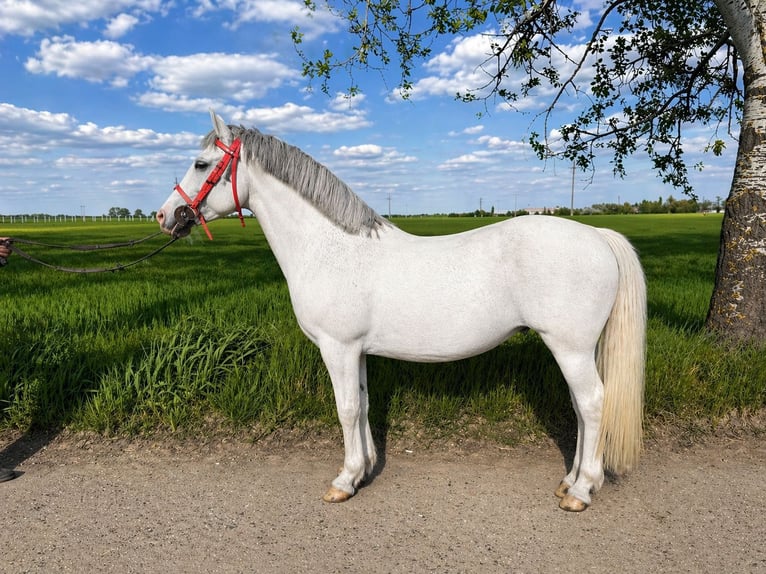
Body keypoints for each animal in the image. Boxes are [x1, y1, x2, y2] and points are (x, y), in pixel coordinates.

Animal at [156, 111, 646, 512]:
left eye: (200, 164)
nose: (165, 216)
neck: (330, 248)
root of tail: (598, 236)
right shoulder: (356, 352)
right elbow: (364, 405)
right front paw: (364, 469)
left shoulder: (337, 348)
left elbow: (346, 409)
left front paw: (343, 482)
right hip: (578, 349)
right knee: (582, 408)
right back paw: (571, 481)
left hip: (570, 347)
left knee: (592, 402)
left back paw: (581, 491)